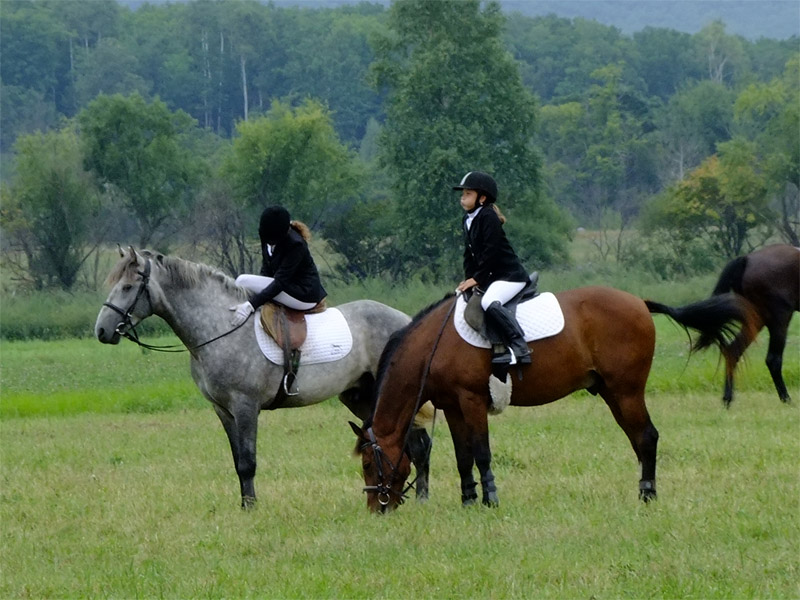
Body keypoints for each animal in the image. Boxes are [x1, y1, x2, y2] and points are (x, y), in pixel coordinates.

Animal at [94, 246, 432, 508]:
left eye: (127, 287)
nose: (101, 331)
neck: (220, 327)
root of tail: (407, 321)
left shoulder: (245, 406)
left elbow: (248, 461)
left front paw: (252, 506)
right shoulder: (222, 410)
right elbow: (237, 461)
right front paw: (244, 504)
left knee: (419, 444)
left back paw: (421, 499)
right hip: (360, 397)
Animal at [350, 286, 744, 510]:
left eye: (369, 464)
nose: (375, 506)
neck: (434, 344)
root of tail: (639, 302)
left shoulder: (472, 401)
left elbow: (481, 452)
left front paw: (490, 502)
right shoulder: (452, 406)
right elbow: (463, 457)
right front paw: (468, 501)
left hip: (626, 390)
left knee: (646, 437)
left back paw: (647, 497)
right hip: (611, 392)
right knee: (638, 438)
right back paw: (645, 492)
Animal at [696, 244, 796, 408]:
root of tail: (747, 259)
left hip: (756, 319)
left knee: (733, 350)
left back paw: (727, 398)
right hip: (779, 318)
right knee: (773, 360)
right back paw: (787, 399)